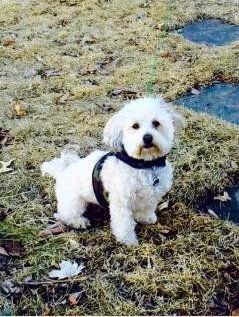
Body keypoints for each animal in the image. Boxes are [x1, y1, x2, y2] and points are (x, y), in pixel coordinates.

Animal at [41, 96, 184, 244]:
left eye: (156, 123)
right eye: (135, 126)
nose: (147, 137)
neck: (144, 164)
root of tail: (63, 171)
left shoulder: (150, 195)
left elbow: (146, 207)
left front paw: (146, 218)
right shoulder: (121, 201)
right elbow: (124, 224)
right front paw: (128, 241)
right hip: (74, 202)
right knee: (63, 215)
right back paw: (79, 221)